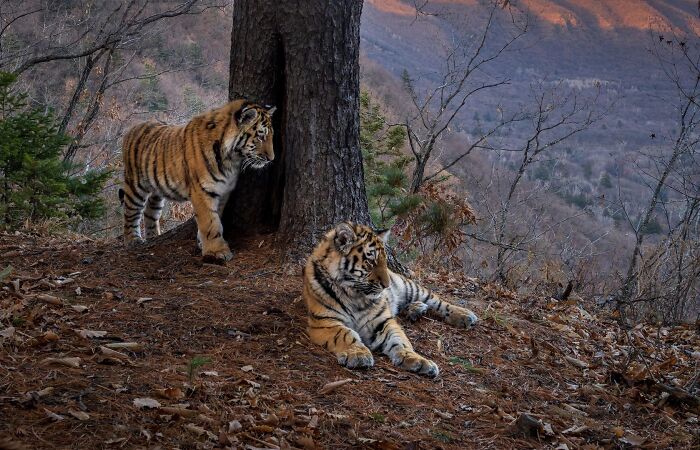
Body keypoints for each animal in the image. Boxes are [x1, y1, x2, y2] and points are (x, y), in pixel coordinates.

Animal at [118, 99, 275, 262]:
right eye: (261, 137)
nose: (272, 158)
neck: (232, 159)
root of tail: (132, 128)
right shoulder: (202, 190)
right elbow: (210, 222)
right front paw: (217, 252)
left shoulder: (223, 191)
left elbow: (217, 217)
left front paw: (202, 243)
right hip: (135, 185)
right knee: (130, 212)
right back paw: (133, 240)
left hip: (157, 191)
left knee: (150, 211)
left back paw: (153, 237)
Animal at [303, 222, 479, 378]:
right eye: (370, 261)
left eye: (384, 261)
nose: (386, 285)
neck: (354, 296)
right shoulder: (325, 322)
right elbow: (346, 334)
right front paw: (359, 354)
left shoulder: (383, 321)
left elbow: (400, 340)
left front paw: (418, 361)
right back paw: (416, 309)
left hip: (409, 286)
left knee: (437, 300)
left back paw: (465, 315)